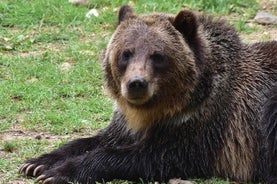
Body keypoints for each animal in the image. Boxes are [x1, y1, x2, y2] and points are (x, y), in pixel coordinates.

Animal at [18, 5, 274, 183]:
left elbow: (149, 156)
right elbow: (94, 140)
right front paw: (37, 163)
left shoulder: (203, 126)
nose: (136, 84)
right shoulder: (127, 123)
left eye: (157, 55)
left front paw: (58, 173)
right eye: (126, 53)